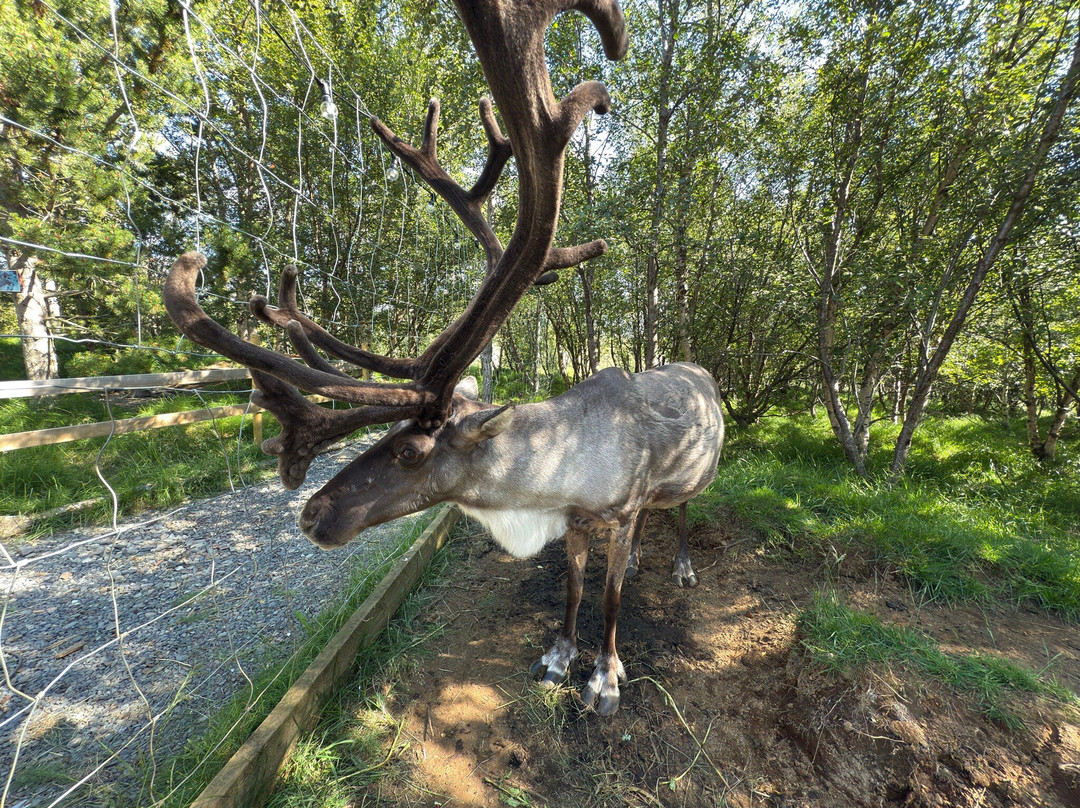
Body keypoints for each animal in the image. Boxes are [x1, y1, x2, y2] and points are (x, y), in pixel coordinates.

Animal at [163, 0, 724, 715]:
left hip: (702, 473)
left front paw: (604, 676)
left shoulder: (617, 511)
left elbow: (609, 597)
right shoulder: (577, 519)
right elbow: (573, 590)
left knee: (681, 509)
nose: (312, 513)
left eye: (410, 451)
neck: (554, 480)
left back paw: (678, 564)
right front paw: (558, 657)